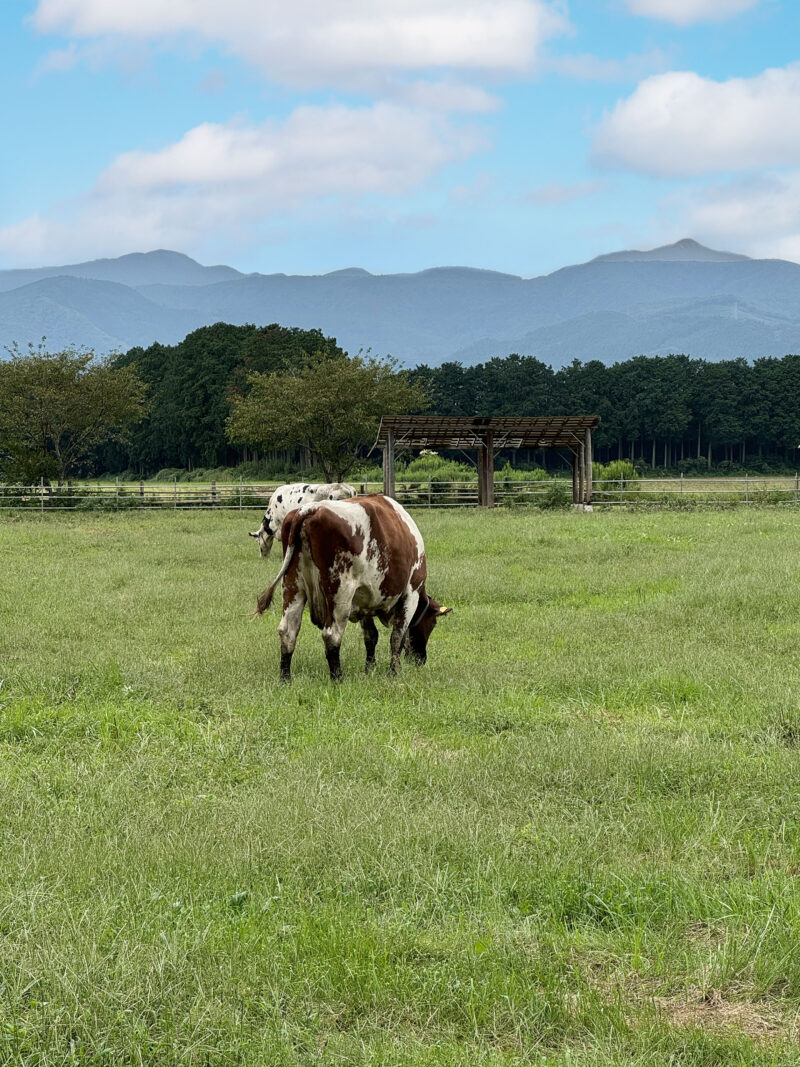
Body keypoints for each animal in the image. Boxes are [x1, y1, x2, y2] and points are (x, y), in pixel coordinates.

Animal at [254, 492, 452, 678]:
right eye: (432, 623)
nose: (421, 659)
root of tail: (311, 509)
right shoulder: (411, 593)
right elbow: (397, 637)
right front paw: (393, 672)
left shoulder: (365, 599)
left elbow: (371, 636)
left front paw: (369, 669)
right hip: (340, 592)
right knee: (331, 635)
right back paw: (338, 678)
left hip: (293, 586)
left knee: (288, 631)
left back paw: (285, 678)